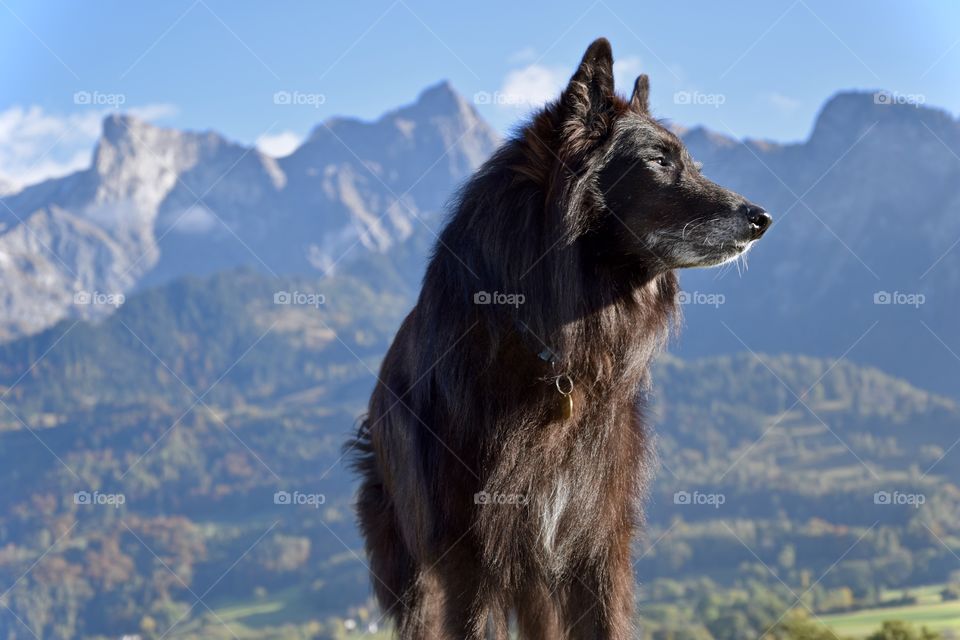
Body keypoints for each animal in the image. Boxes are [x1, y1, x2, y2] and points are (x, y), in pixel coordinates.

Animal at [350, 37, 772, 636]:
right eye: (659, 161)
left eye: (691, 163)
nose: (762, 219)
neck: (554, 348)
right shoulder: (468, 561)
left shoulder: (594, 544)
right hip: (418, 577)